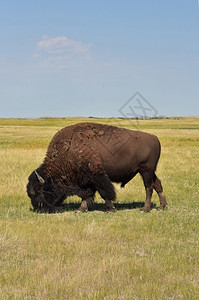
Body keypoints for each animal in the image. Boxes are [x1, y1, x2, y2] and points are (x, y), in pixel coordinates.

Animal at [26, 122, 166, 213]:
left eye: (39, 191)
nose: (38, 209)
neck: (70, 149)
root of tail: (155, 139)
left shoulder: (97, 177)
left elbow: (104, 193)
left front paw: (110, 209)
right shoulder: (86, 180)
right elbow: (87, 195)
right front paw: (80, 209)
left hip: (146, 171)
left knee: (149, 187)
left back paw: (145, 209)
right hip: (149, 171)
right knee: (157, 184)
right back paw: (162, 207)